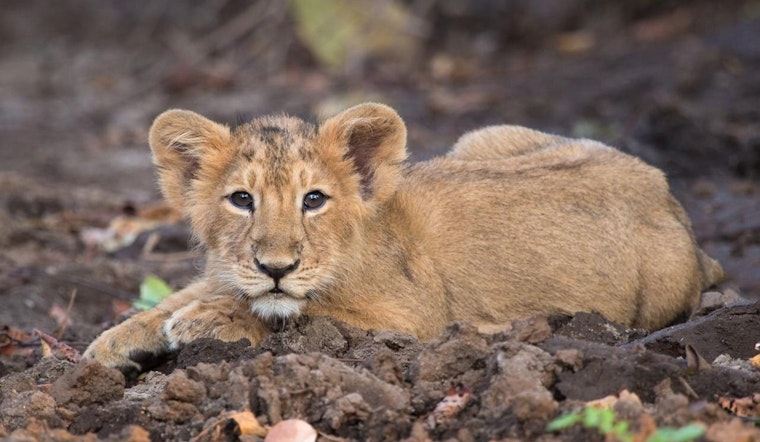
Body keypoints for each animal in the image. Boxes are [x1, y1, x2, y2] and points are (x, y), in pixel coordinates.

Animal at [84, 103, 723, 373]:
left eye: (313, 200)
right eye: (242, 200)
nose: (276, 266)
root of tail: (668, 195)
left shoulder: (411, 322)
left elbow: (298, 316)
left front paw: (212, 322)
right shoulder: (225, 269)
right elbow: (180, 297)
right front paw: (107, 345)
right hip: (483, 139)